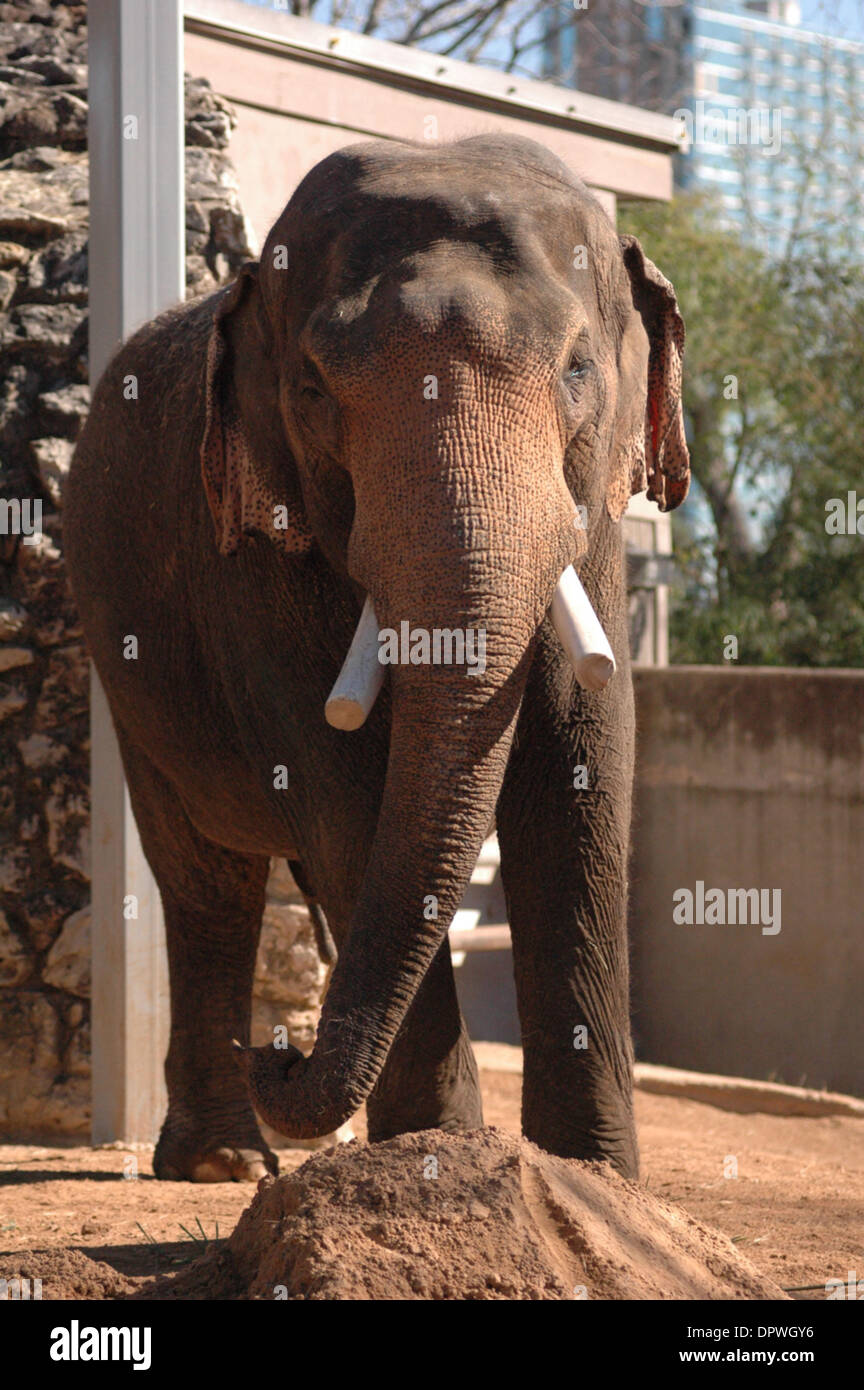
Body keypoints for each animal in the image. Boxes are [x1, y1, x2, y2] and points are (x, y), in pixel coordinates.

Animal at [64, 135, 691, 1184]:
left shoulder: (596, 525)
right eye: (314, 390)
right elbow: (345, 786)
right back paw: (228, 1164)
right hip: (120, 653)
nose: (282, 1054)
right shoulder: (260, 563)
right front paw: (441, 1158)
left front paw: (595, 1176)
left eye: (577, 370)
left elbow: (584, 768)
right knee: (206, 879)